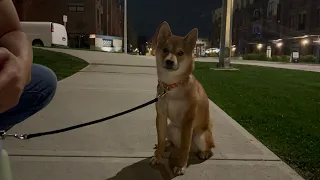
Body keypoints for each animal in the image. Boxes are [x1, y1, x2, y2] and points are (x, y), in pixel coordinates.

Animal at [150, 21, 215, 176]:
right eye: (165, 49)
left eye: (180, 53)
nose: (169, 61)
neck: (172, 87)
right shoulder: (161, 116)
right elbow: (160, 139)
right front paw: (158, 156)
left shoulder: (188, 120)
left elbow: (185, 147)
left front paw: (181, 166)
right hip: (170, 127)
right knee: (171, 142)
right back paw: (168, 144)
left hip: (199, 134)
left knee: (208, 147)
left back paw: (204, 153)